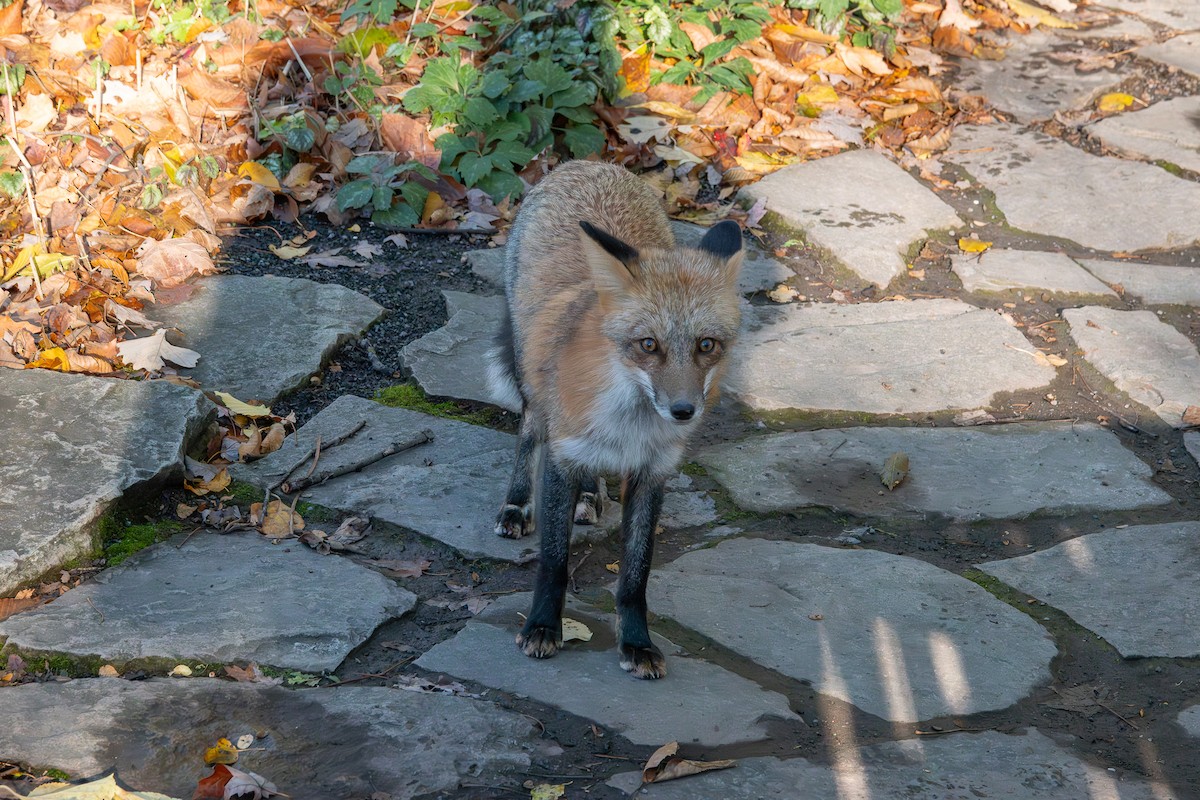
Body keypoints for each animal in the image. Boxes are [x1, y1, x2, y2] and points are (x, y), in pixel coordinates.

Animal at [486, 160, 744, 680]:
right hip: (533, 380)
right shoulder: (562, 457)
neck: (631, 425)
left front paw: (637, 642)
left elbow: (635, 575)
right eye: (648, 345)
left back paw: (590, 494)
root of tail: (585, 163)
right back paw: (517, 504)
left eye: (706, 345)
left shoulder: (652, 472)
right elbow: (554, 562)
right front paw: (542, 627)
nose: (683, 411)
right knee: (528, 432)